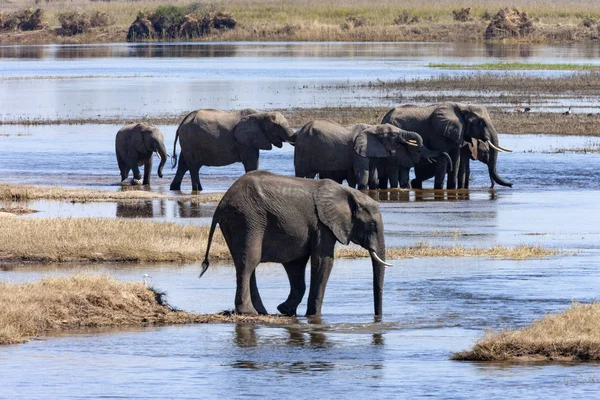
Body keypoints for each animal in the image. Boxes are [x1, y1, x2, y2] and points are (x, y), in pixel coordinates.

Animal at [199, 170, 392, 318]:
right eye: (372, 225)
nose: (378, 317)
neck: (348, 193)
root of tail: (222, 202)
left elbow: (296, 265)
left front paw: (285, 310)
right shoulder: (322, 225)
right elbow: (323, 261)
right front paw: (313, 315)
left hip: (236, 222)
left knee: (244, 263)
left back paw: (261, 312)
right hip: (248, 219)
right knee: (249, 262)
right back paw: (249, 312)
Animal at [292, 119, 442, 190]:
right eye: (393, 135)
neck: (373, 128)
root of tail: (300, 131)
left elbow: (373, 174)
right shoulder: (357, 152)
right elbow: (363, 173)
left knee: (311, 174)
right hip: (303, 149)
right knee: (300, 172)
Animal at [382, 103, 512, 191]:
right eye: (480, 123)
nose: (511, 184)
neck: (463, 107)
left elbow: (456, 160)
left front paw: (452, 188)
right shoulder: (438, 132)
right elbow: (444, 159)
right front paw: (440, 189)